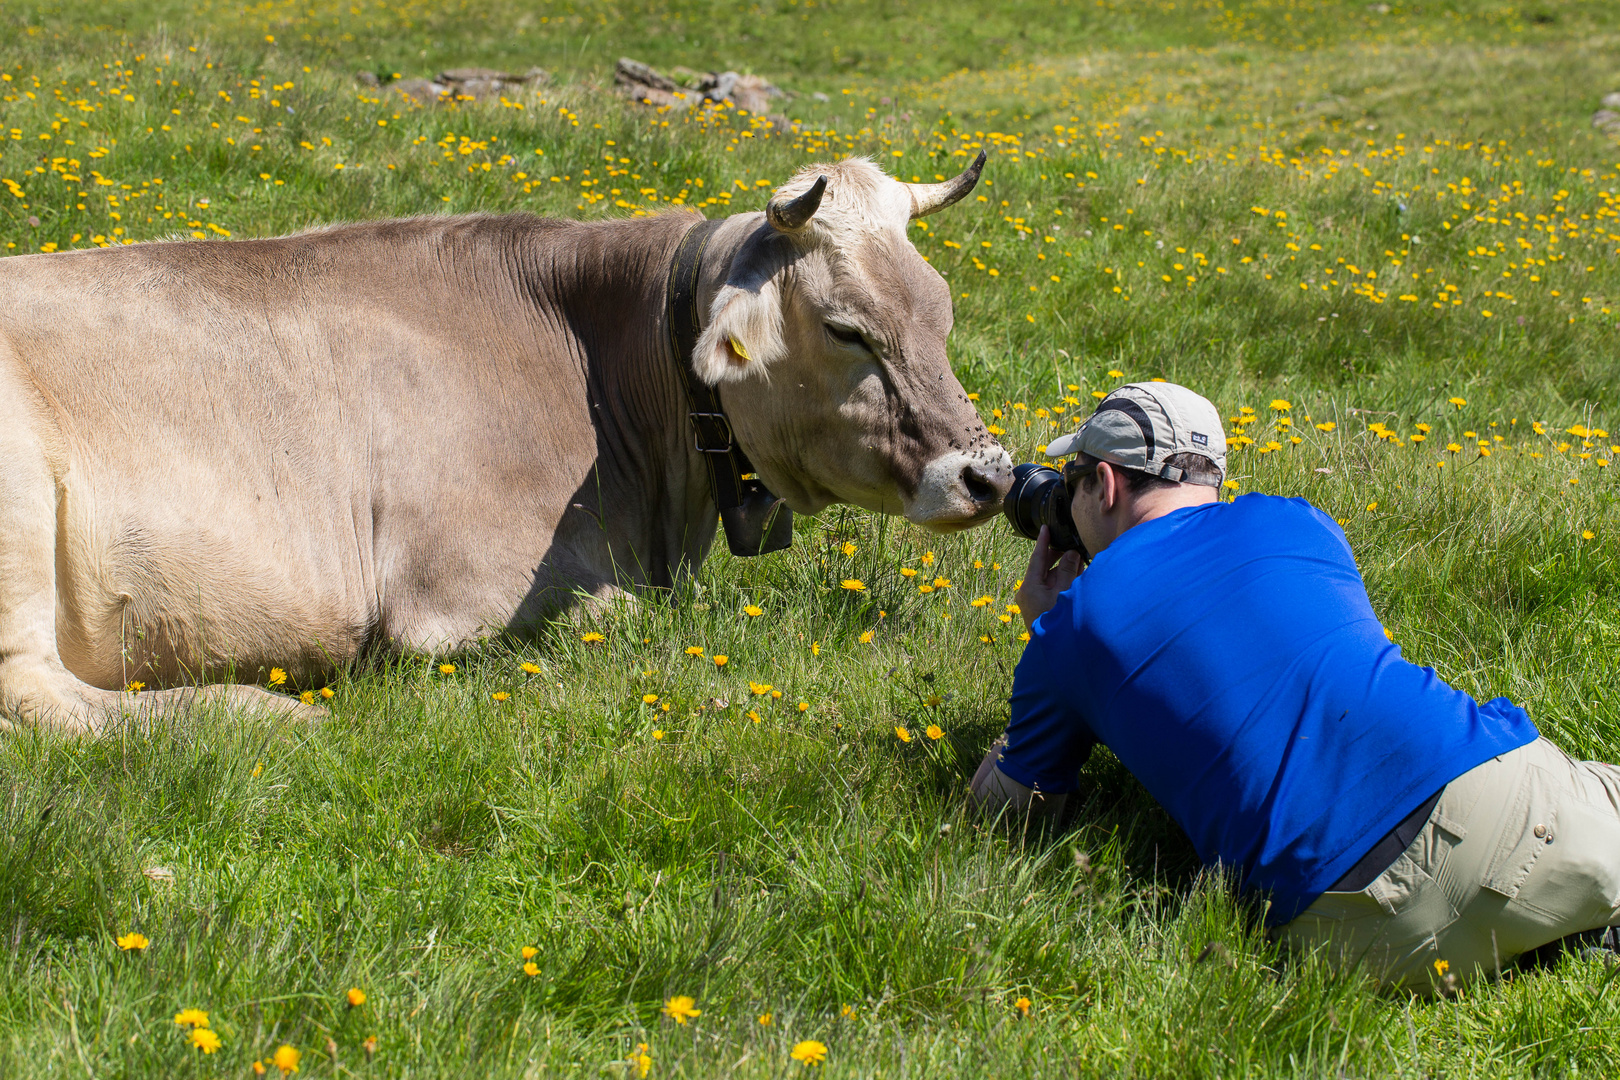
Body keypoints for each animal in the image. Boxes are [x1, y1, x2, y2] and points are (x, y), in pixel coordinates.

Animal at [0, 153, 1010, 735]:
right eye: (847, 329)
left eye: (941, 308)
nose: (990, 474)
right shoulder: (451, 599)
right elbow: (623, 615)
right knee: (40, 698)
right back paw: (264, 713)